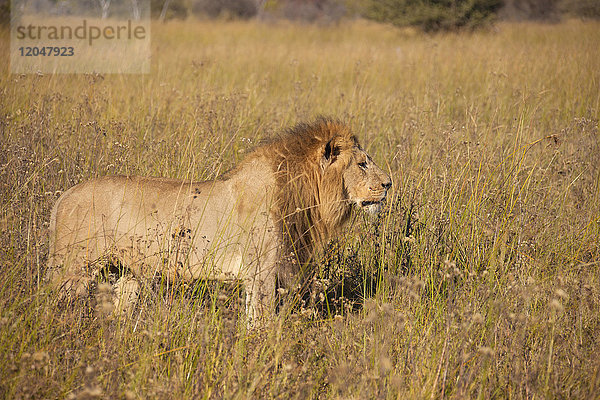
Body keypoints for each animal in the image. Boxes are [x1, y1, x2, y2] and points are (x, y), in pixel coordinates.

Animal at [48, 118, 394, 322]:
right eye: (362, 164)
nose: (389, 184)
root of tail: (64, 196)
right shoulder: (261, 272)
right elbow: (260, 321)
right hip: (73, 268)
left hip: (126, 273)